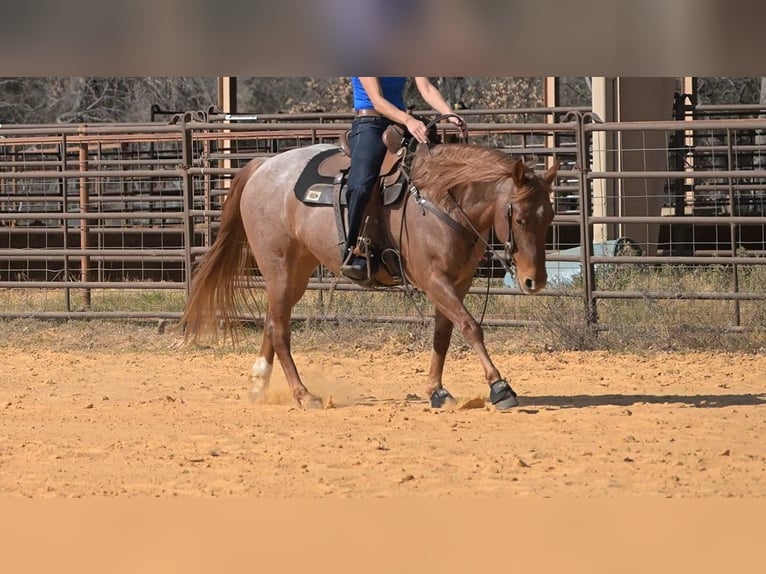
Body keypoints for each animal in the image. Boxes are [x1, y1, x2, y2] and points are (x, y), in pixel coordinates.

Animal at [179, 141, 557, 410]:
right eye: (520, 218)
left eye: (550, 216)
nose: (534, 282)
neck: (442, 201)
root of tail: (263, 167)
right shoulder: (434, 280)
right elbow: (470, 327)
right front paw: (500, 387)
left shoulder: (457, 283)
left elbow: (443, 335)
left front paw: (436, 391)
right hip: (279, 268)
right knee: (279, 329)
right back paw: (304, 395)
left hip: (296, 272)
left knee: (274, 322)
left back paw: (260, 383)